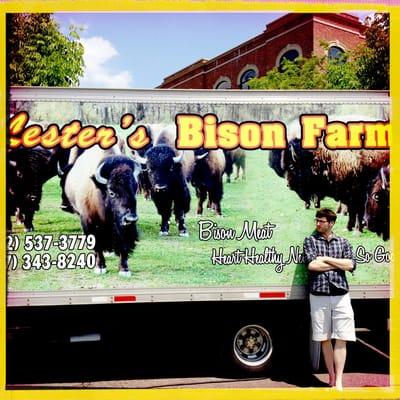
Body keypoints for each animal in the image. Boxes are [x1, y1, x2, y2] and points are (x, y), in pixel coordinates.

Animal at [65, 145, 140, 276]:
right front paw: (100, 267)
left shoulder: (122, 227)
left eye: (135, 189)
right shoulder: (88, 222)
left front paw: (124, 269)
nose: (131, 218)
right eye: (111, 192)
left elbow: (123, 244)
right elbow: (96, 244)